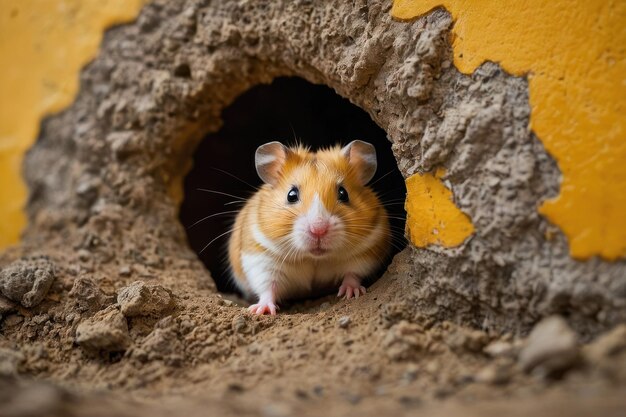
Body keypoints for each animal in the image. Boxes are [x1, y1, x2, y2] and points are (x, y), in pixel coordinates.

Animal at [227, 138, 388, 314]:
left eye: (343, 193)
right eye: (291, 195)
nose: (319, 230)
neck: (314, 258)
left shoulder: (366, 252)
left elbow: (352, 273)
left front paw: (351, 293)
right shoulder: (260, 257)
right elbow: (267, 287)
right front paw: (261, 310)